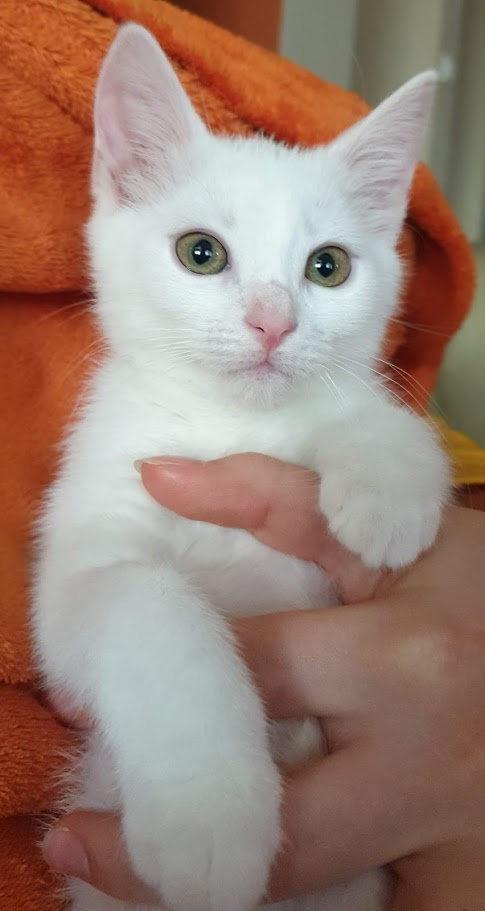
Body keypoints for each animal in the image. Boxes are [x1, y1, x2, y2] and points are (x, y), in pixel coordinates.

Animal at [32, 23, 450, 911]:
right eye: (201, 253)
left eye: (328, 266)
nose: (272, 322)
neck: (229, 430)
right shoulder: (79, 561)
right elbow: (142, 595)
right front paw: (208, 811)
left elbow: (364, 408)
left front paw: (387, 485)